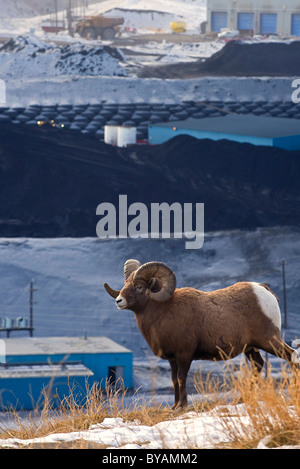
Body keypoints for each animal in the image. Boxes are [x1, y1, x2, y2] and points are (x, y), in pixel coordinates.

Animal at [104, 258, 296, 408]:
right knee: (258, 366)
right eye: (125, 284)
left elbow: (181, 379)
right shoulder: (173, 359)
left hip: (269, 341)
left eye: (138, 286)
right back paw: (245, 398)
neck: (164, 311)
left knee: (291, 355)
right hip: (251, 348)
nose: (118, 301)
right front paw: (175, 406)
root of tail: (264, 291)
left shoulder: (184, 355)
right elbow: (174, 380)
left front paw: (182, 406)